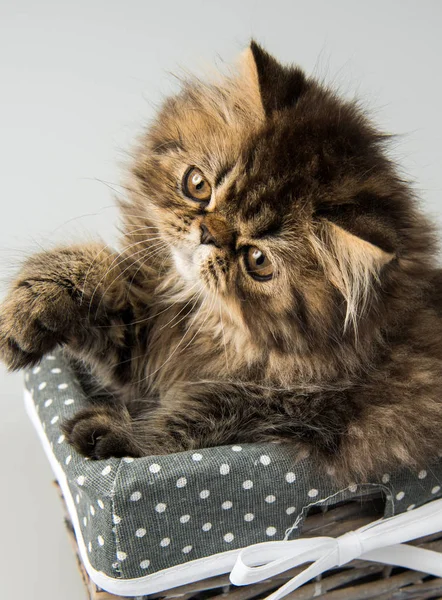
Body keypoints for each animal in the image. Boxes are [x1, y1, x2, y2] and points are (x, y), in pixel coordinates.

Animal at [0, 41, 442, 482]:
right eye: (197, 185)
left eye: (257, 260)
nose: (208, 234)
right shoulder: (144, 345)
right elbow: (89, 273)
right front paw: (27, 314)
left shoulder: (308, 406)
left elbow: (205, 411)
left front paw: (115, 435)